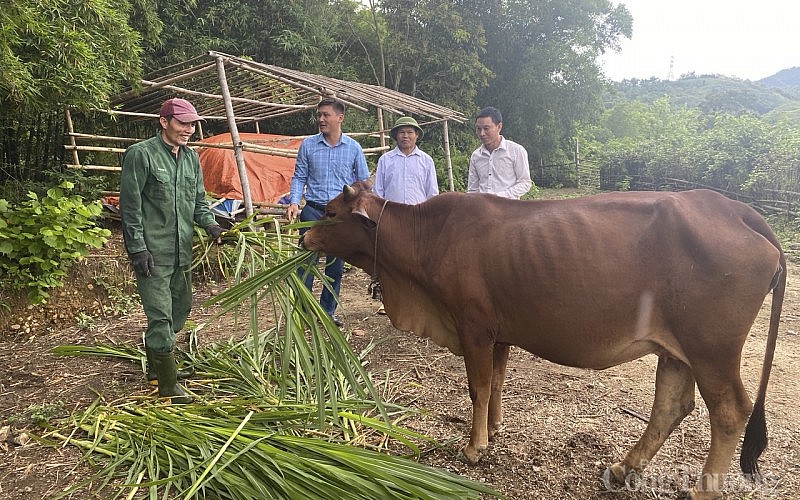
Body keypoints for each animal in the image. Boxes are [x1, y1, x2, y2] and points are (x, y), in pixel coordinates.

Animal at [302, 183, 788, 500]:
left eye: (331, 212)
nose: (302, 232)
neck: (427, 239)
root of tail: (735, 209)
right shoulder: (498, 332)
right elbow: (497, 382)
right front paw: (494, 427)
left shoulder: (472, 326)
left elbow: (478, 387)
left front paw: (475, 446)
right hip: (677, 350)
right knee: (671, 406)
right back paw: (623, 467)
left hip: (712, 351)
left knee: (729, 413)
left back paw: (702, 489)